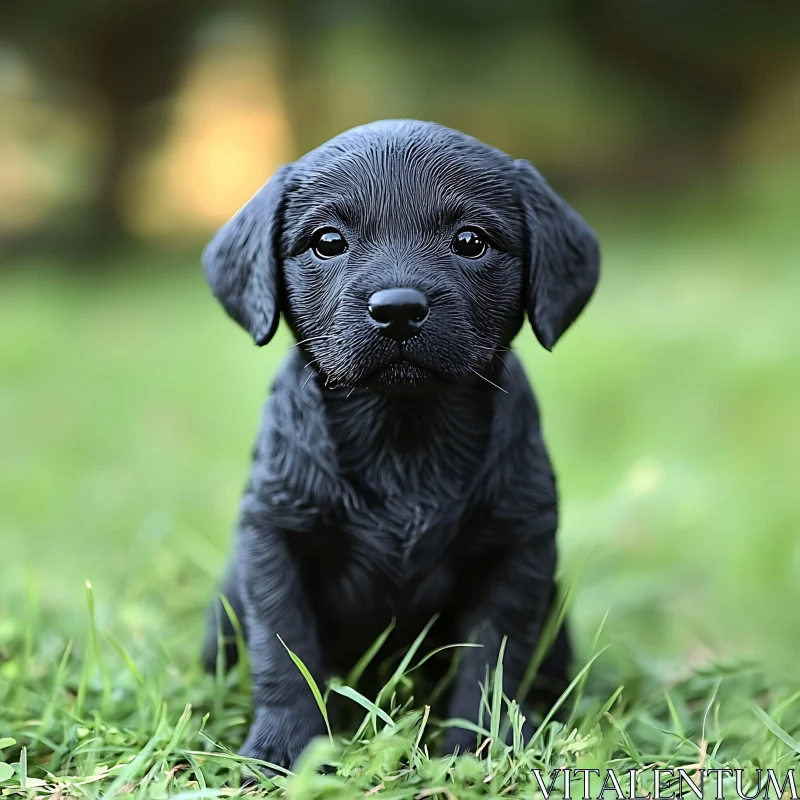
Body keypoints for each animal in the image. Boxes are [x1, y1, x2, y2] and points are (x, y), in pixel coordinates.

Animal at [200, 119, 600, 768]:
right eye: (327, 241)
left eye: (471, 240)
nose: (398, 309)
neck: (403, 433)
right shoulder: (274, 536)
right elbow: (284, 652)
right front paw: (281, 750)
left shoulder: (516, 549)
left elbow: (492, 663)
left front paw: (478, 752)